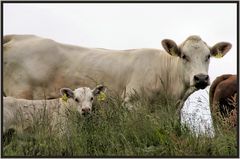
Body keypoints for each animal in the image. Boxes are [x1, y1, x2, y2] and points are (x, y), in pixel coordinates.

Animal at [3, 34, 231, 112]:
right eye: (183, 56)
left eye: (208, 56)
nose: (201, 78)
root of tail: (20, 37)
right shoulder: (132, 103)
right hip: (21, 95)